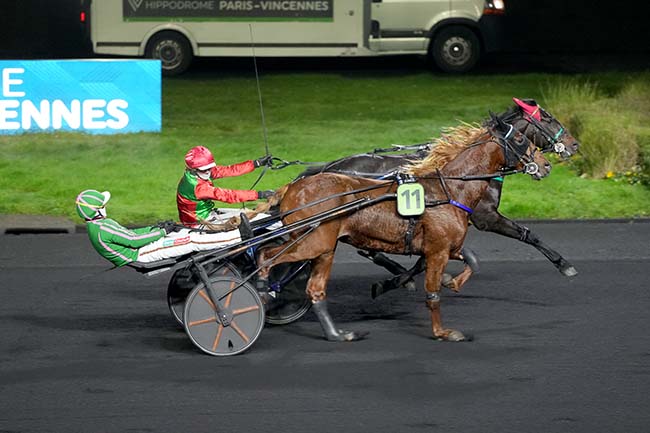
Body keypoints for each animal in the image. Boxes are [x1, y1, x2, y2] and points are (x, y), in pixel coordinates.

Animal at [256, 120, 548, 340]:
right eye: (520, 138)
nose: (545, 165)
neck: (449, 189)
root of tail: (291, 187)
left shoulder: (444, 246)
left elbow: (472, 260)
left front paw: (451, 281)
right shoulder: (439, 250)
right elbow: (433, 293)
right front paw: (442, 332)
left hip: (325, 247)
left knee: (315, 289)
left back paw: (337, 334)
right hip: (312, 241)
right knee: (266, 254)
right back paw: (263, 287)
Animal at [294, 96, 576, 296]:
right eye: (548, 118)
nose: (574, 144)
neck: (467, 171)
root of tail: (329, 166)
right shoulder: (486, 217)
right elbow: (527, 234)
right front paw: (563, 264)